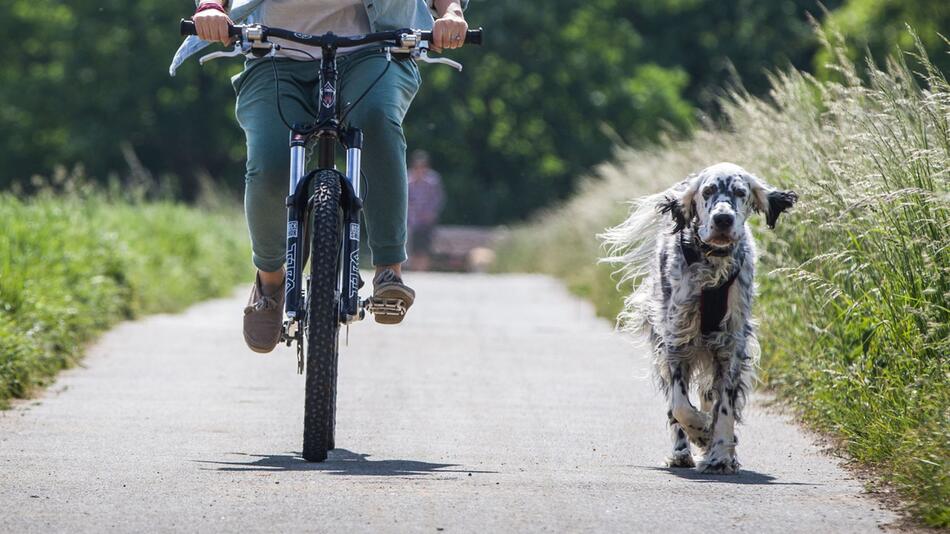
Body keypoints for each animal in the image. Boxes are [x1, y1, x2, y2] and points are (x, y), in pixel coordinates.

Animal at [608, 162, 800, 474]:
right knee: (677, 409)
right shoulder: (676, 341)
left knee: (712, 396)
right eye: (708, 191)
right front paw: (700, 431)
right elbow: (680, 406)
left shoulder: (731, 345)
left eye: (740, 192)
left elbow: (725, 406)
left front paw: (720, 453)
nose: (723, 219)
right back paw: (681, 452)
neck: (713, 266)